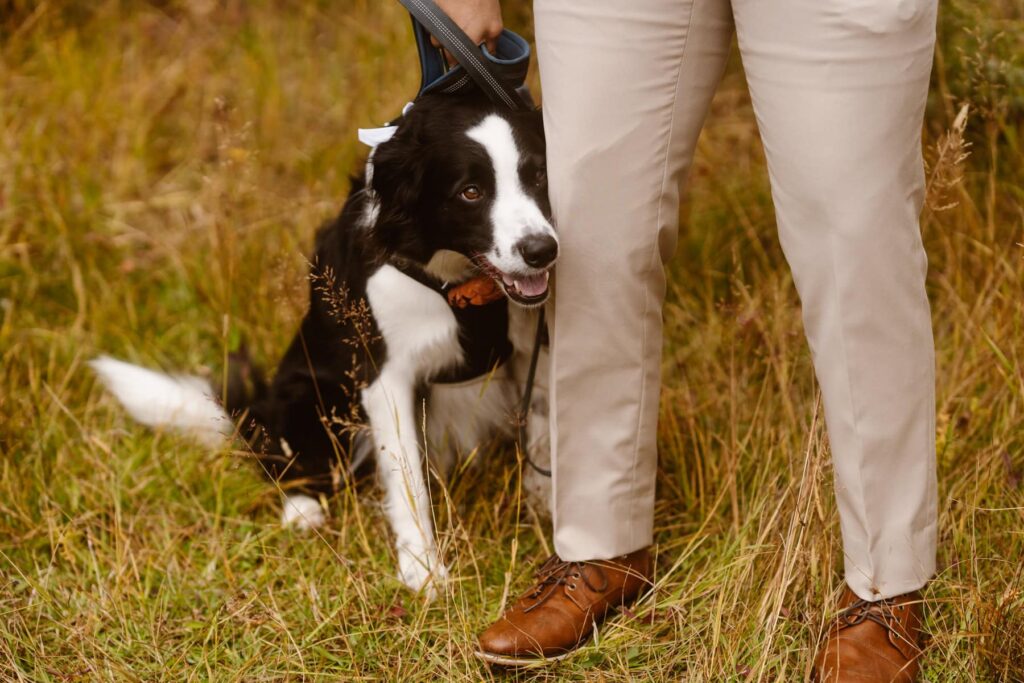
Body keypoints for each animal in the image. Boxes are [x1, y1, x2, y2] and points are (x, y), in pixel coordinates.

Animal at [95, 93, 557, 593]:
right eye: (470, 192)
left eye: (539, 175)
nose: (542, 251)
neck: (459, 279)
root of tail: (253, 411)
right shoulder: (385, 377)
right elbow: (408, 480)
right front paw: (423, 569)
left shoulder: (532, 350)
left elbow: (542, 434)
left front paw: (549, 511)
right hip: (311, 394)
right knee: (283, 459)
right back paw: (302, 510)